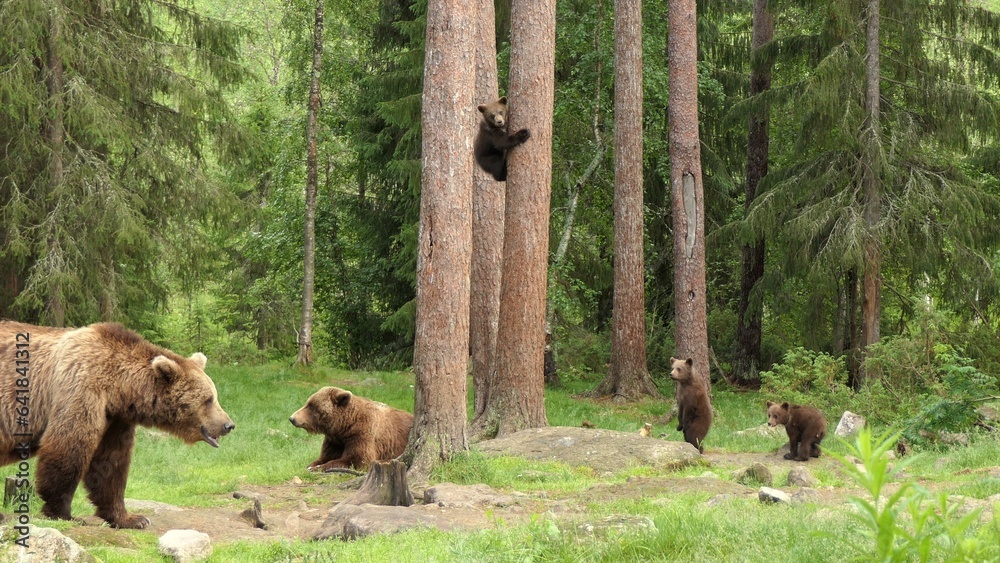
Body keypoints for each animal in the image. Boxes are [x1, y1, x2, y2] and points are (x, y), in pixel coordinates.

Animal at [0, 321, 234, 529]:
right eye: (208, 399)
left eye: (214, 396)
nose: (228, 425)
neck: (119, 388)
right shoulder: (81, 389)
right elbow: (68, 447)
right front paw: (64, 513)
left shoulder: (115, 419)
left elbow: (110, 464)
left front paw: (131, 518)